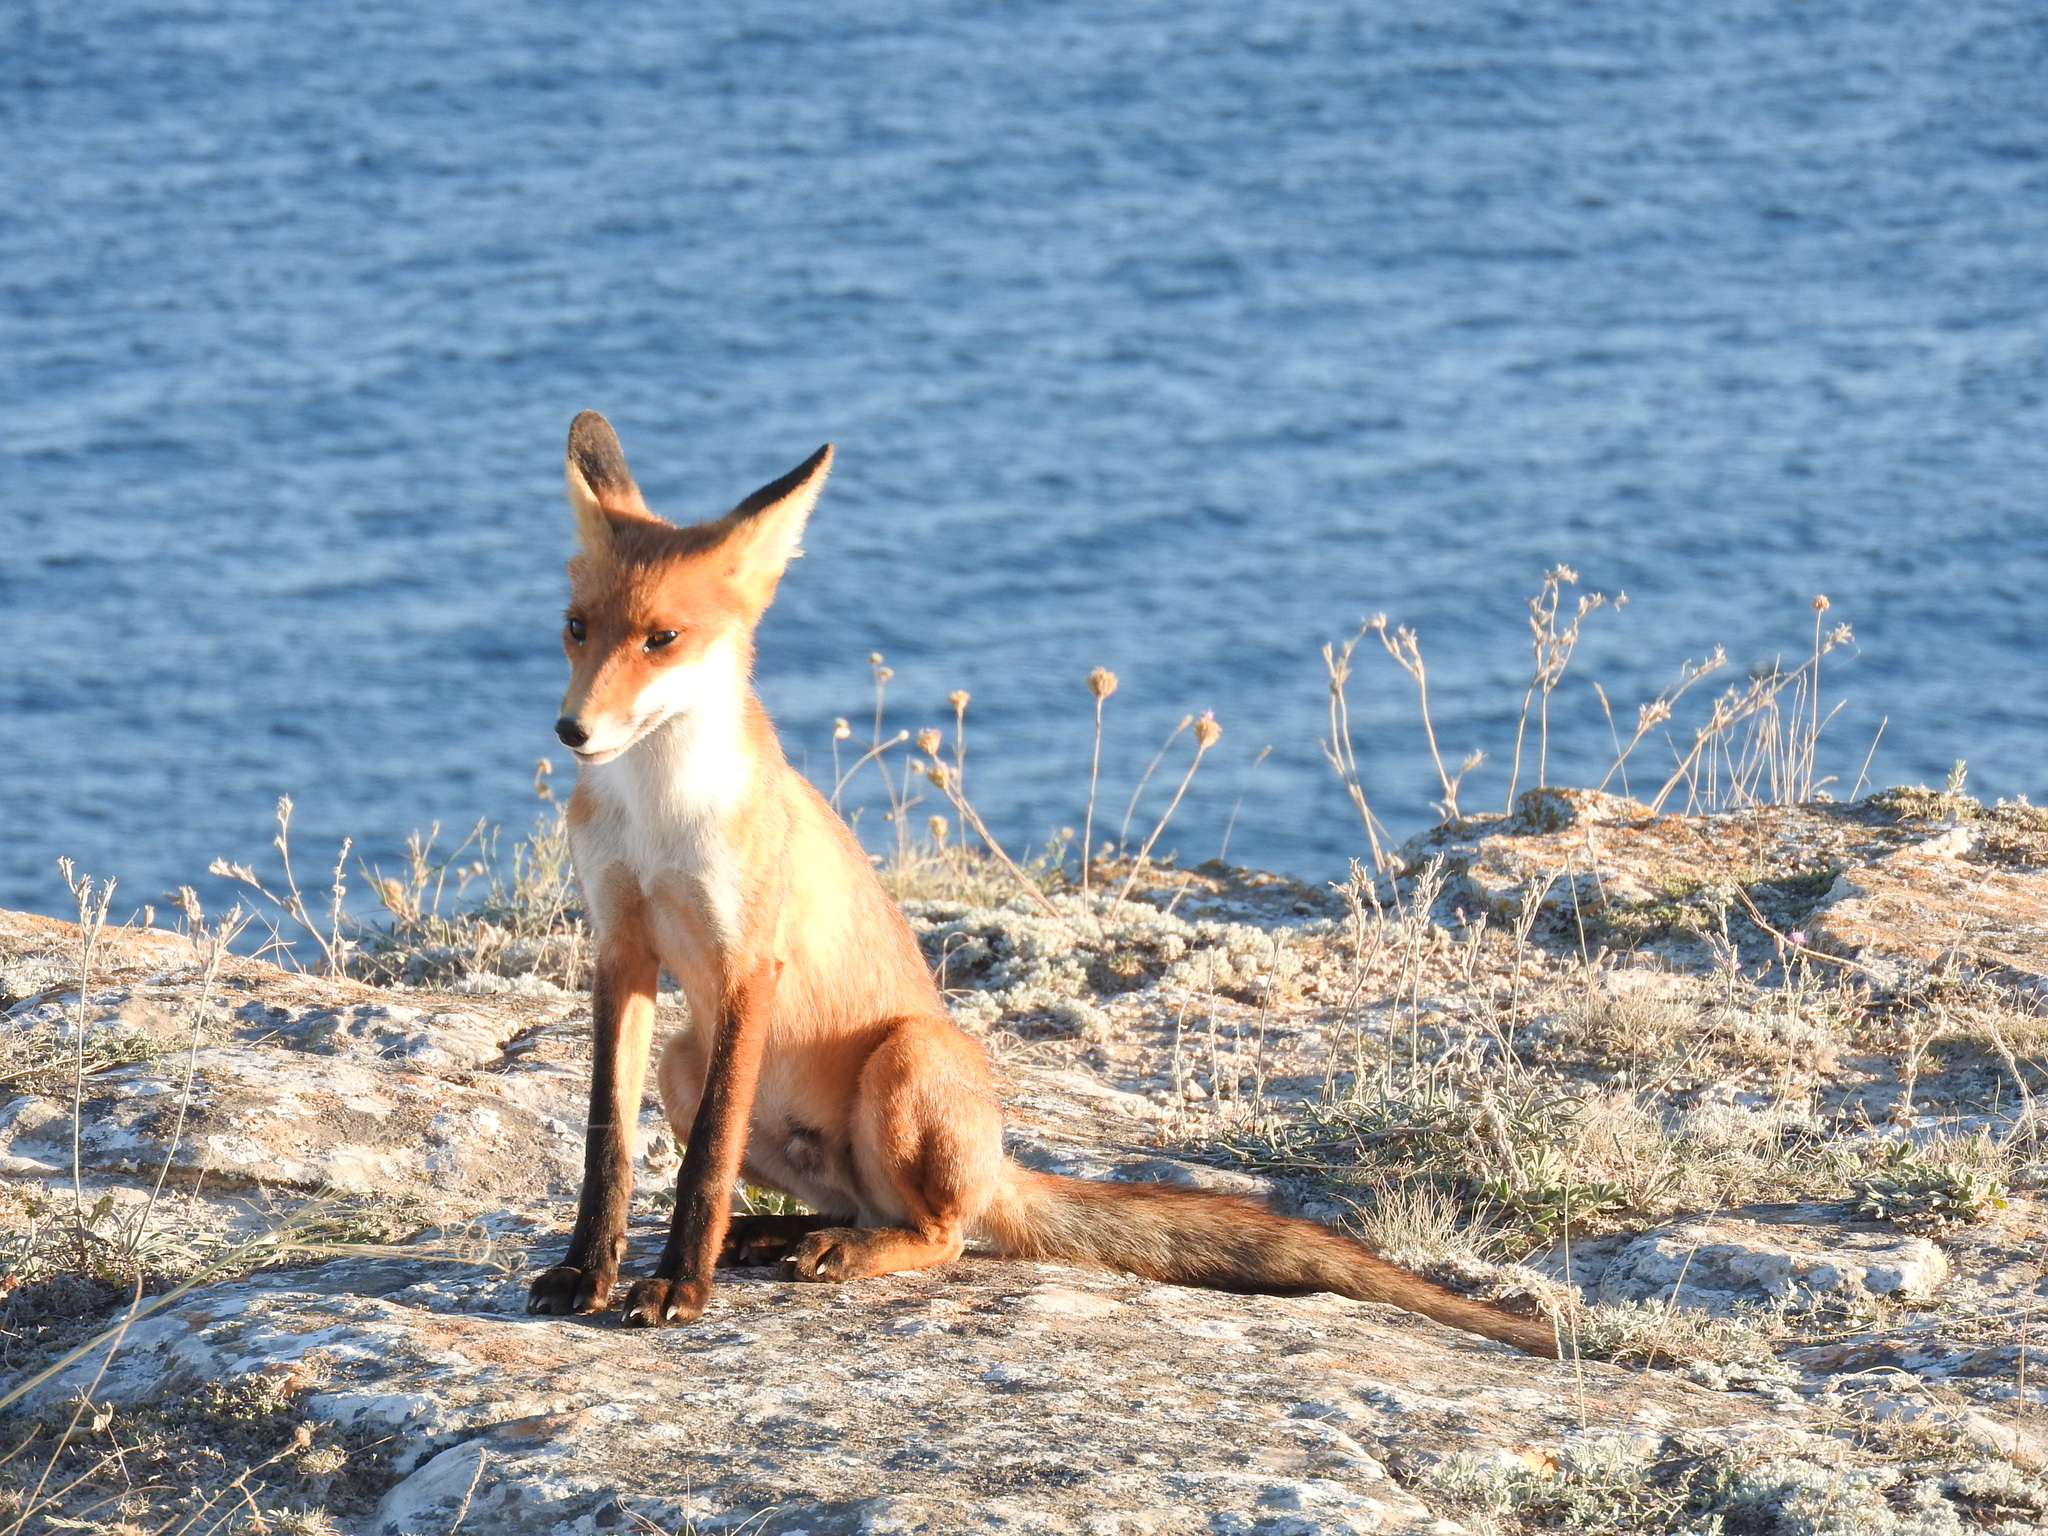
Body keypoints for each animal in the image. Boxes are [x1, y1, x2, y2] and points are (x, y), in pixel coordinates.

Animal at [524, 411, 1548, 1359]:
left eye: (661, 638)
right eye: (575, 629)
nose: (572, 731)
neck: (655, 816)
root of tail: (998, 1161)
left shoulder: (748, 966)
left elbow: (702, 1165)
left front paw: (676, 1287)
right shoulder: (622, 947)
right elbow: (608, 1145)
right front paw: (588, 1270)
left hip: (907, 1055)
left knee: (939, 1234)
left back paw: (825, 1250)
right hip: (685, 1058)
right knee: (856, 1207)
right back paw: (771, 1235)